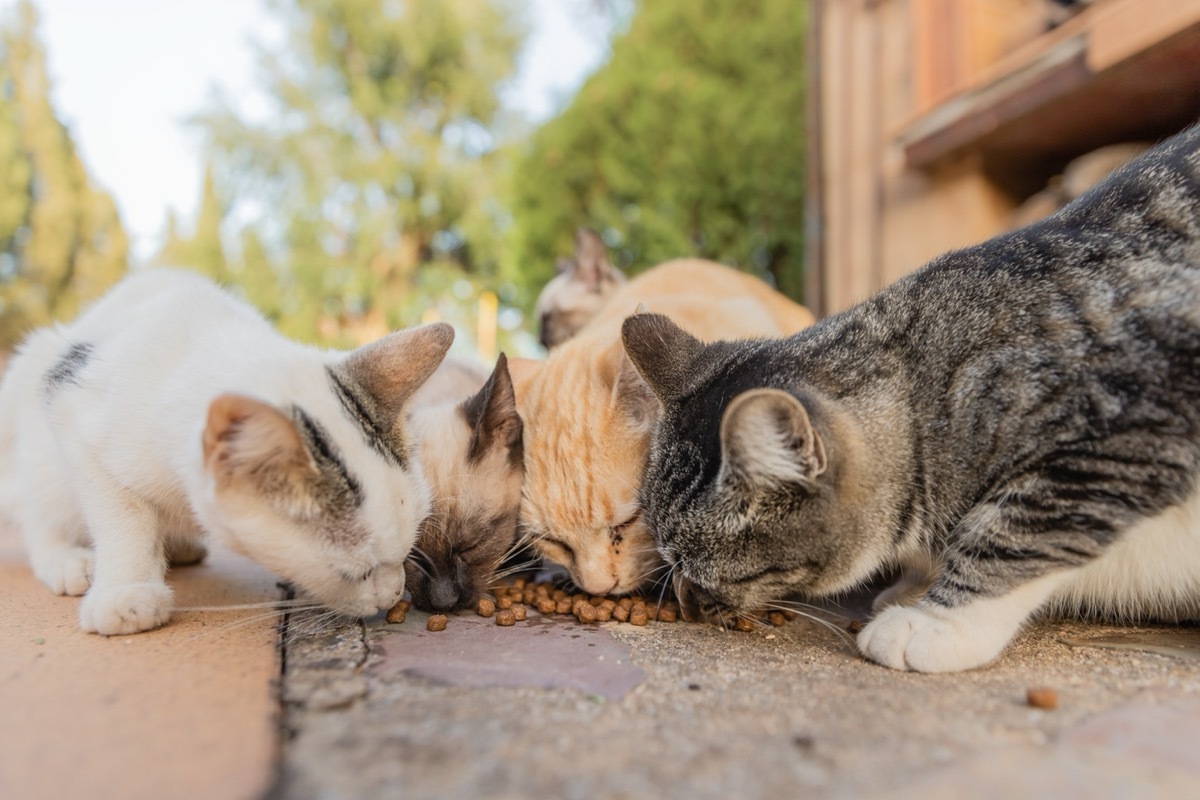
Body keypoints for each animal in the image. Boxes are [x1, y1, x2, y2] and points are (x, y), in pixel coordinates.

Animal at [0, 272, 451, 633]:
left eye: (408, 548)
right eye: (356, 572)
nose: (393, 595)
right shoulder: (71, 408)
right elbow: (122, 514)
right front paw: (127, 592)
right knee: (37, 507)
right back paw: (66, 560)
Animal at [624, 126, 1200, 676]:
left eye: (698, 573)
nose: (687, 605)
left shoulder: (1125, 429)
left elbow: (1011, 532)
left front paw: (937, 623)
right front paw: (917, 588)